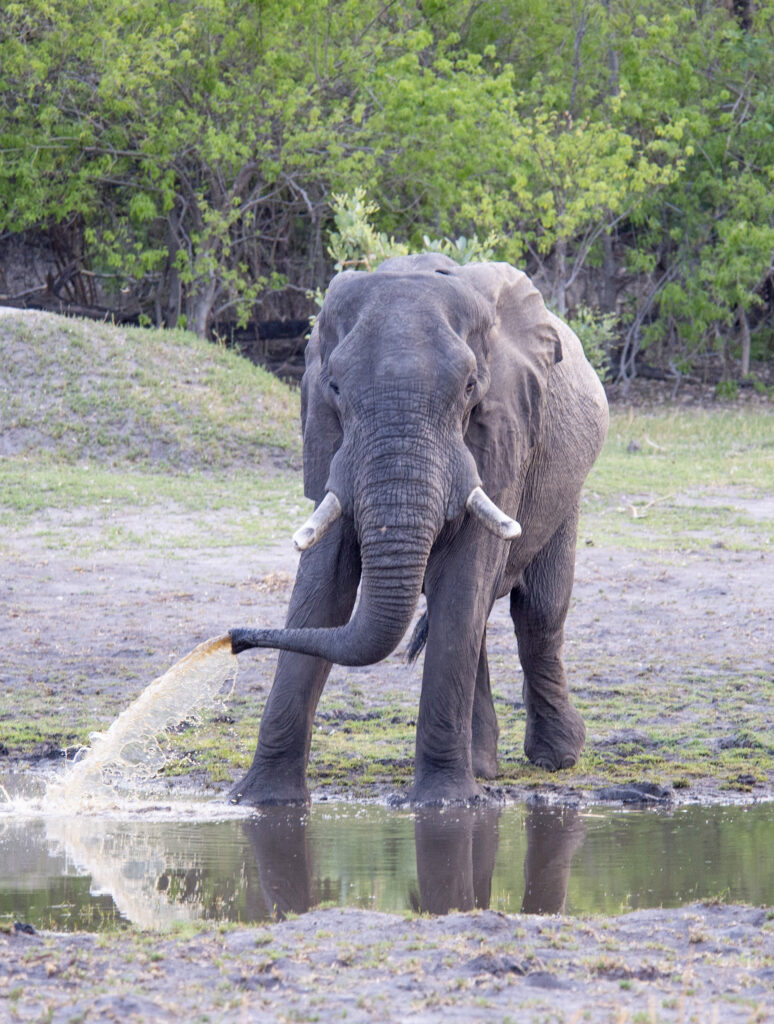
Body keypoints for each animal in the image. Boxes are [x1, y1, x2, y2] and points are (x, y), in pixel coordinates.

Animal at [228, 253, 608, 806]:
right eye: (334, 387)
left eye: (470, 388)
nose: (234, 639)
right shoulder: (328, 440)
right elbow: (323, 587)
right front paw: (261, 801)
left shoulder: (504, 431)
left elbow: (466, 582)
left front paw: (444, 804)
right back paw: (484, 765)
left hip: (565, 488)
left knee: (537, 612)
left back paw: (556, 758)